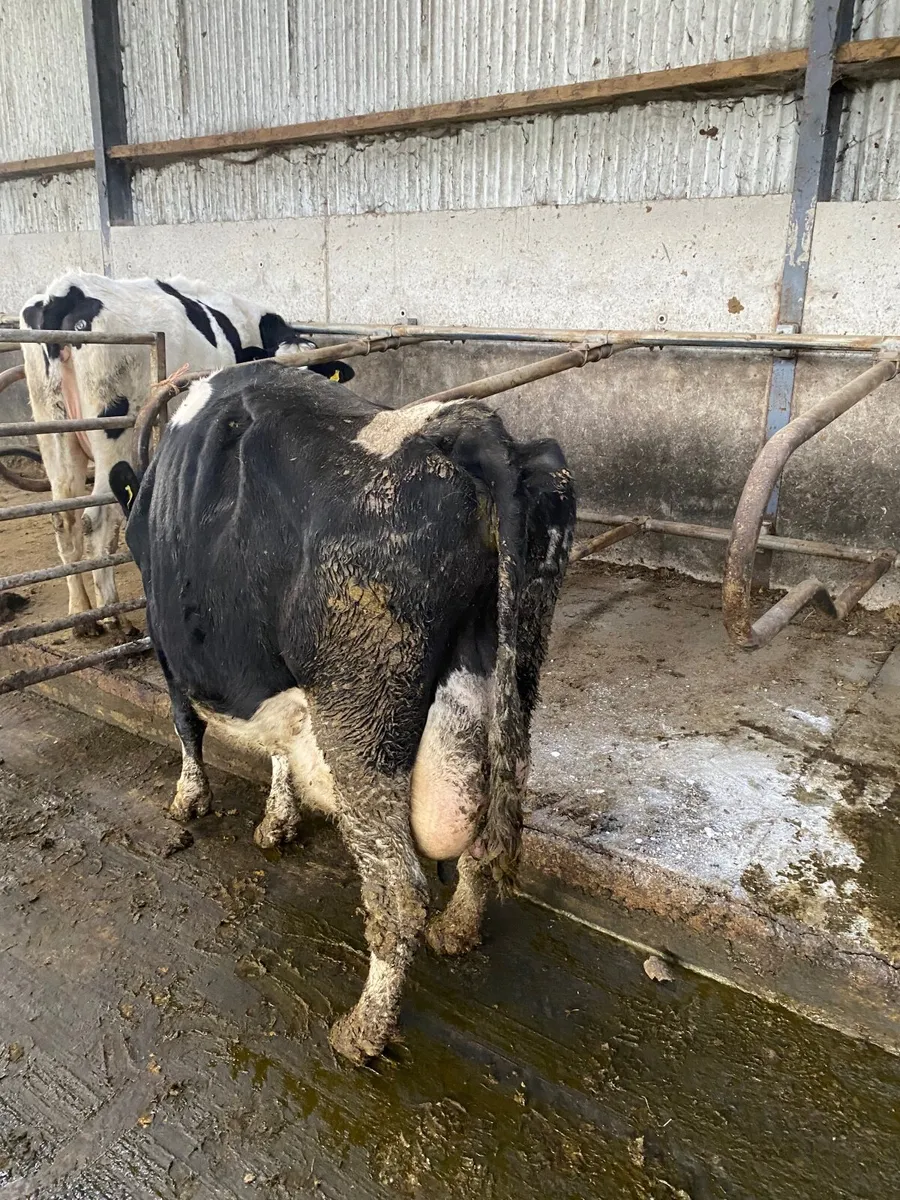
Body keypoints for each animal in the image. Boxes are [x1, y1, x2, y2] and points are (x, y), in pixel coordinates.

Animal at [19, 272, 353, 639]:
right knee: (98, 519)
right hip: (112, 430)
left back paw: (82, 615)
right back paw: (113, 614)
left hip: (53, 428)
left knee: (64, 517)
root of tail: (64, 292)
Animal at [108, 358, 575, 1063]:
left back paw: (363, 1031)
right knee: (478, 832)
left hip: (363, 725)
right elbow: (278, 742)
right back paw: (457, 930)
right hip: (506, 681)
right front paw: (278, 819)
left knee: (398, 892)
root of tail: (465, 429)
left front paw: (190, 800)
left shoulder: (166, 644)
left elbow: (185, 724)